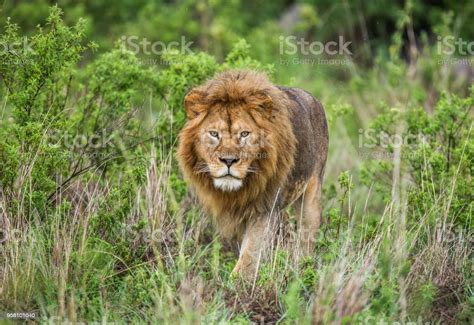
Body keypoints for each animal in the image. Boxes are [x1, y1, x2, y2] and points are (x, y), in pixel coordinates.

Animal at [176, 69, 328, 276]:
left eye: (244, 134)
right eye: (214, 134)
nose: (229, 161)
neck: (237, 191)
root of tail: (313, 98)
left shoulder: (265, 209)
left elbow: (250, 254)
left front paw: (236, 282)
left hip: (311, 197)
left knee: (306, 238)